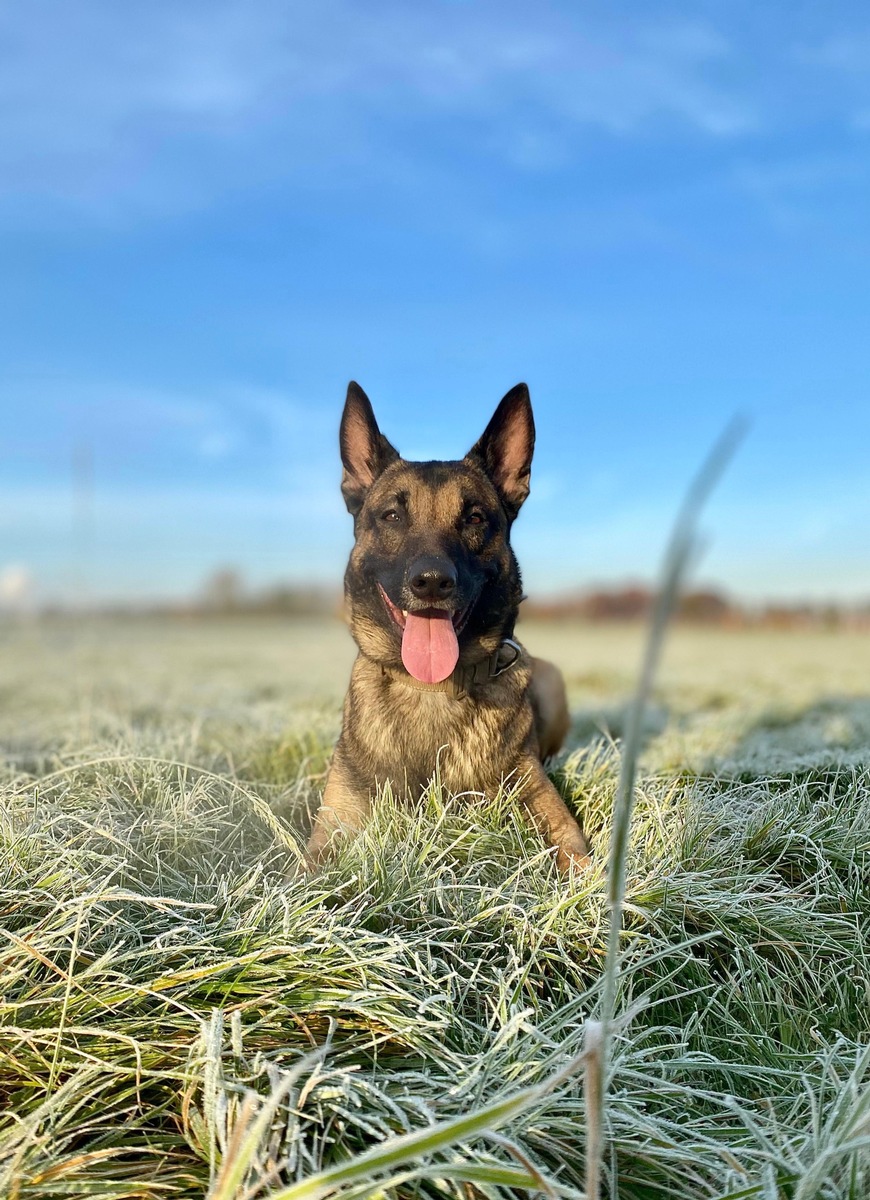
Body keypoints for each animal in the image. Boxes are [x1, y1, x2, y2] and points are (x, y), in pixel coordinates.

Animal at [306, 381, 590, 873]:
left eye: (474, 517)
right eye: (392, 516)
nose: (432, 582)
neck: (431, 689)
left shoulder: (538, 797)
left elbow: (582, 859)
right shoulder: (334, 826)